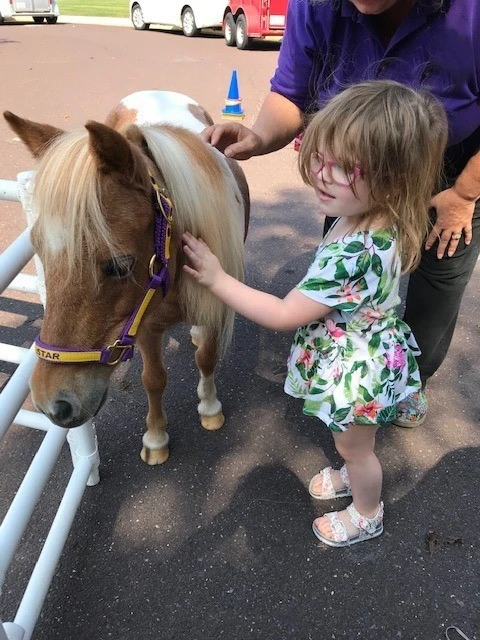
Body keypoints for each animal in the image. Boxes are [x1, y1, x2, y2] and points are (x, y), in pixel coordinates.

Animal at [4, 90, 250, 465]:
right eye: (40, 251)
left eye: (119, 266)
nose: (51, 403)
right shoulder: (143, 325)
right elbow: (154, 379)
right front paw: (156, 438)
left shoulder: (212, 306)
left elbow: (206, 359)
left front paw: (209, 408)